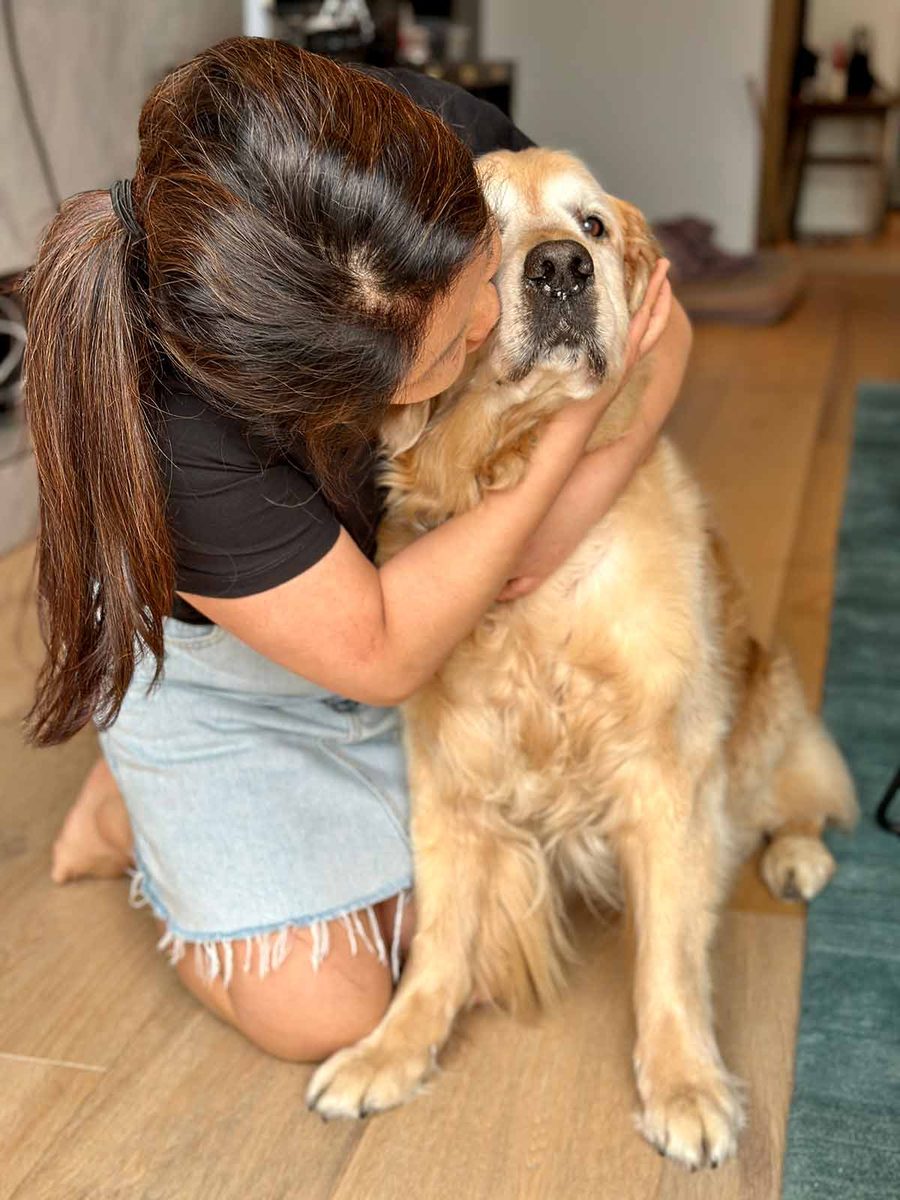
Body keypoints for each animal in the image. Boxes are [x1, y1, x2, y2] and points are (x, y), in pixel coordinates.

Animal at [306, 148, 858, 1168]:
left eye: (591, 225)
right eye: (479, 230)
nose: (561, 268)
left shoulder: (668, 779)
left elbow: (669, 960)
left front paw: (684, 1085)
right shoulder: (446, 780)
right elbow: (438, 945)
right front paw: (391, 1052)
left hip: (770, 720)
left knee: (798, 800)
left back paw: (799, 855)